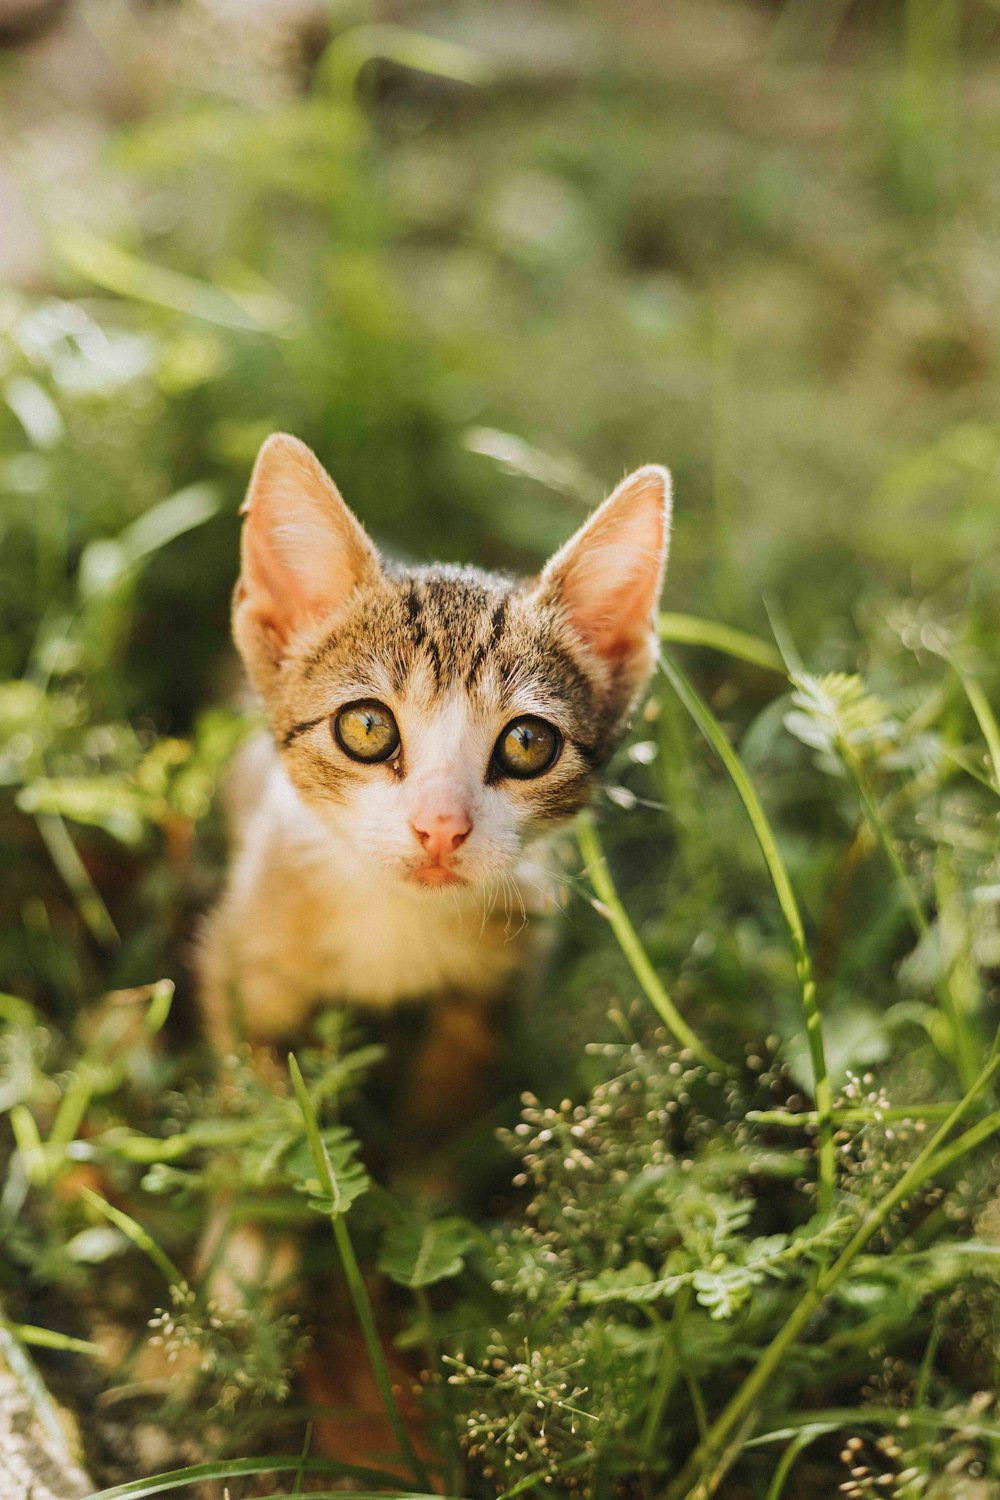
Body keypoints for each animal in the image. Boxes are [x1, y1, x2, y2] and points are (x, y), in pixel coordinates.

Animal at [196, 435, 671, 1068]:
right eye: (367, 728)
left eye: (528, 743)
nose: (441, 826)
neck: (399, 918)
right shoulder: (239, 960)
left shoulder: (498, 982)